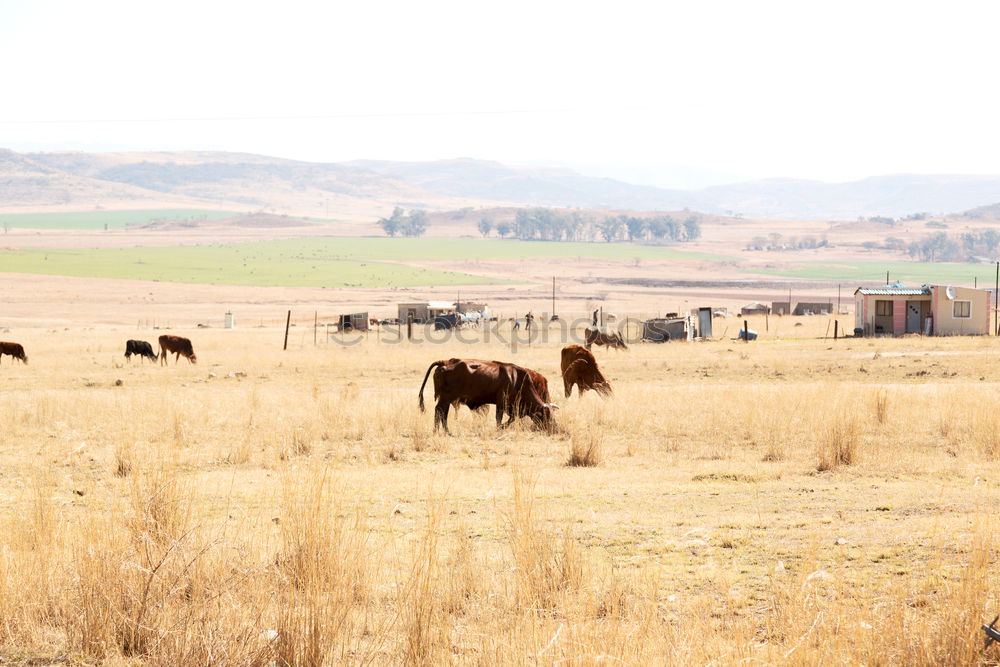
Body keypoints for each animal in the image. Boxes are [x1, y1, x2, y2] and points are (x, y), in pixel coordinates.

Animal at [414, 358, 556, 436]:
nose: (555, 428)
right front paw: (499, 428)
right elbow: (499, 418)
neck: (517, 379)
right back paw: (442, 432)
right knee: (440, 411)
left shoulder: (511, 408)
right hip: (446, 398)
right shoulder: (501, 403)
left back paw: (441, 431)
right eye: (546, 416)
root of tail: (445, 362)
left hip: (446, 399)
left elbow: (511, 418)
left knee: (442, 413)